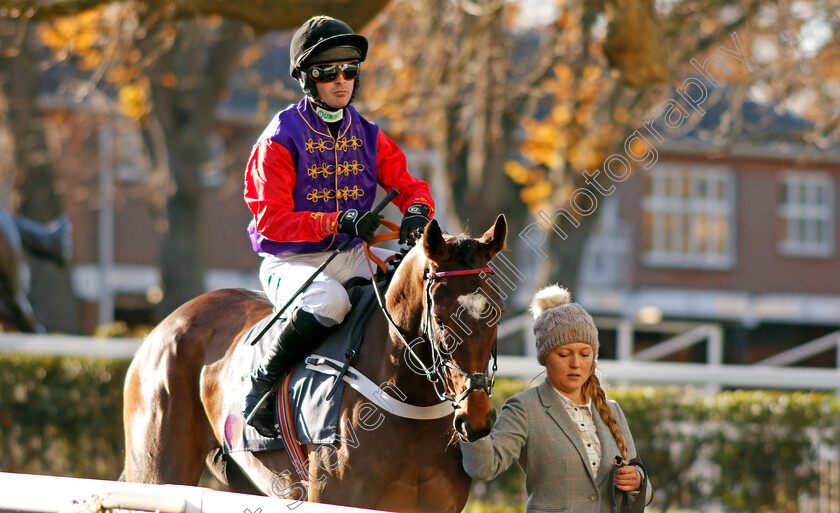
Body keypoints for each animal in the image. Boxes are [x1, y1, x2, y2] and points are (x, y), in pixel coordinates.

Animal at [122, 214, 508, 510]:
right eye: (440, 320)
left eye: (496, 313)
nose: (476, 418)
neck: (409, 402)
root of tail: (160, 329)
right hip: (156, 473)